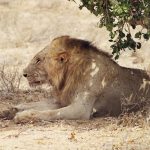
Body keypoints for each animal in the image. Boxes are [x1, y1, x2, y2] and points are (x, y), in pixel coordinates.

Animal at [13, 35, 149, 122]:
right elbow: (38, 104)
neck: (68, 75)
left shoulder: (81, 109)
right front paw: (15, 107)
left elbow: (50, 113)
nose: (24, 74)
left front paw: (23, 116)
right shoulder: (63, 100)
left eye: (38, 60)